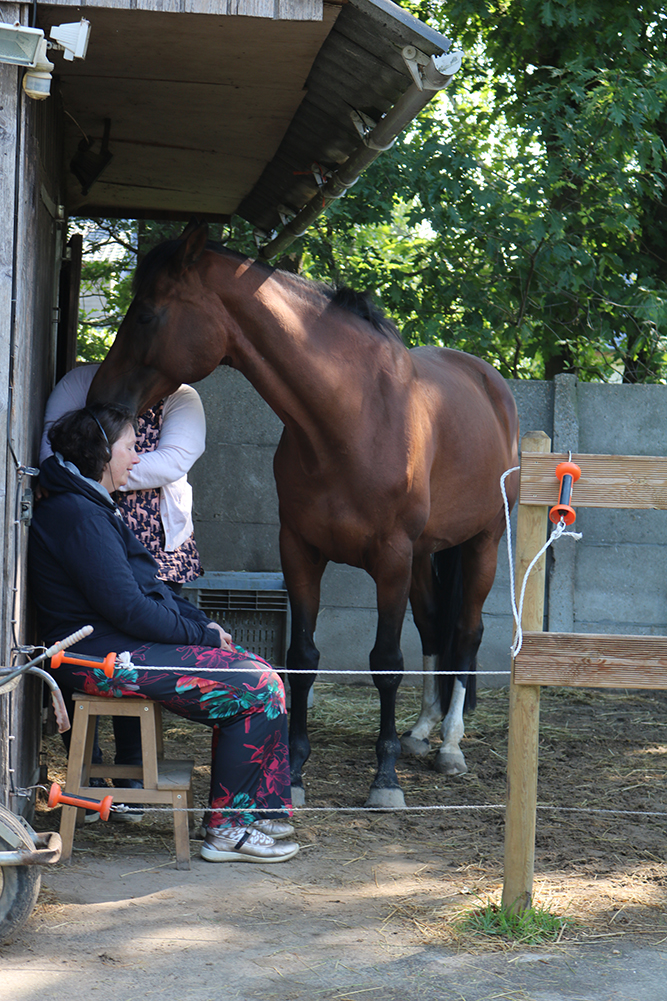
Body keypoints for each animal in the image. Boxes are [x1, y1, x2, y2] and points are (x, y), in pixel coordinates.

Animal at [85, 221, 516, 812]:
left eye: (148, 313)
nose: (98, 402)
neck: (352, 418)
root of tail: (489, 382)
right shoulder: (301, 551)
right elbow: (303, 655)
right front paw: (294, 769)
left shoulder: (391, 558)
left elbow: (386, 662)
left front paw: (384, 780)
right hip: (427, 554)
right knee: (433, 628)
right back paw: (421, 732)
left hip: (482, 543)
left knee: (467, 634)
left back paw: (449, 745)